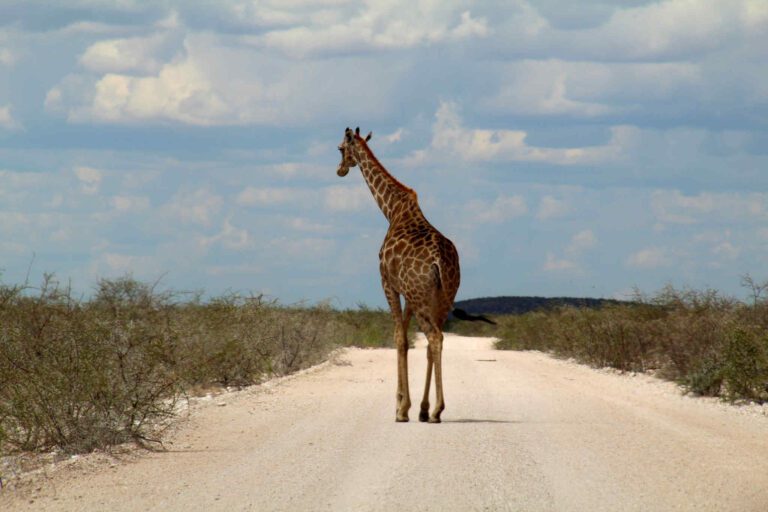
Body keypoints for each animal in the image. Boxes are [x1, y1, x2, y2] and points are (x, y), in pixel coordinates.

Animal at [336, 126, 463, 423]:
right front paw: (411, 406)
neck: (391, 210)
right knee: (434, 341)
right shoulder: (407, 293)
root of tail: (440, 262)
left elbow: (399, 338)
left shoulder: (387, 282)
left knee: (435, 337)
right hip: (442, 296)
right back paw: (428, 409)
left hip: (422, 295)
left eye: (340, 148)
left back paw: (438, 409)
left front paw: (401, 409)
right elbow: (406, 339)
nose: (340, 170)